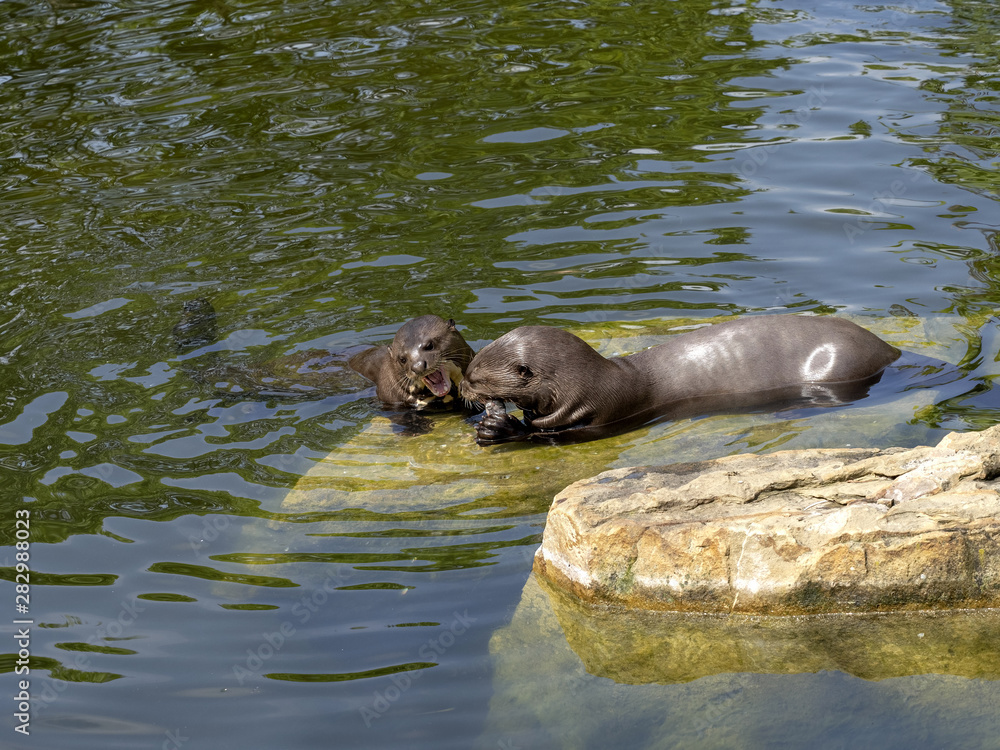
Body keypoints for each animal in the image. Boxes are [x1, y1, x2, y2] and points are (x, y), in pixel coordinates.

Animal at [459, 315, 903, 444]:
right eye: (470, 366)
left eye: (477, 376)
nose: (462, 386)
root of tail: (890, 349)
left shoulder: (599, 413)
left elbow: (549, 434)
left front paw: (500, 429)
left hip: (837, 365)